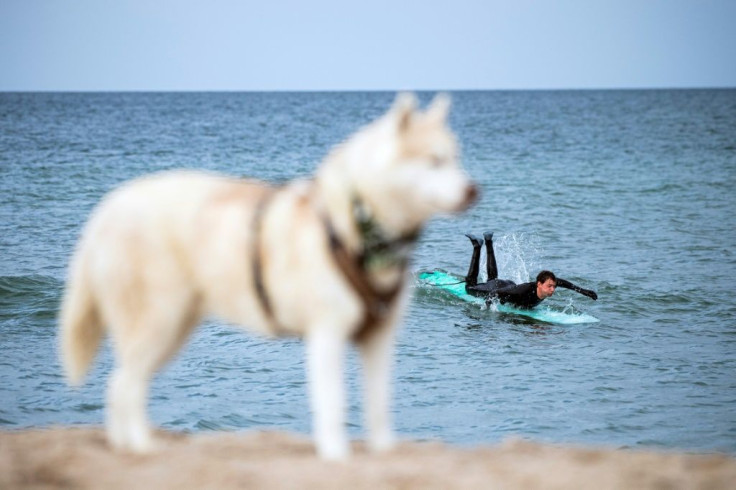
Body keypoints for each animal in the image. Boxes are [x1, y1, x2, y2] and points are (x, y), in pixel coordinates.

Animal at [61, 93, 478, 460]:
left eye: (455, 158)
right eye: (435, 160)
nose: (473, 190)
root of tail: (109, 208)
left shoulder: (378, 339)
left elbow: (377, 408)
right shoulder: (326, 334)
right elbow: (333, 405)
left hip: (173, 324)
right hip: (158, 320)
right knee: (123, 385)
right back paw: (141, 450)